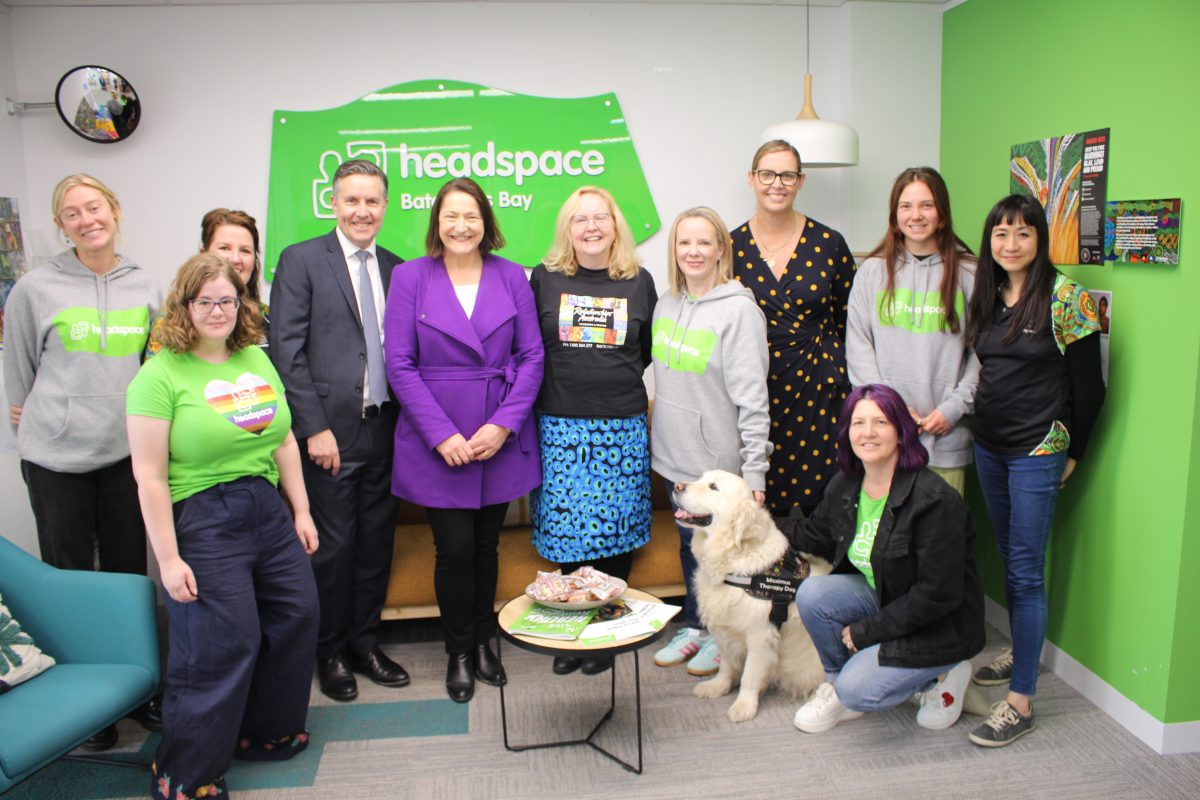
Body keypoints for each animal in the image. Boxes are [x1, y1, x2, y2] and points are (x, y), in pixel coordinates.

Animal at [672, 472, 830, 724]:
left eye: (713, 487)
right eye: (701, 477)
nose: (677, 486)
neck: (733, 561)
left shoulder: (760, 636)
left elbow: (749, 675)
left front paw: (744, 705)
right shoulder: (726, 630)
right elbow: (726, 665)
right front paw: (718, 686)